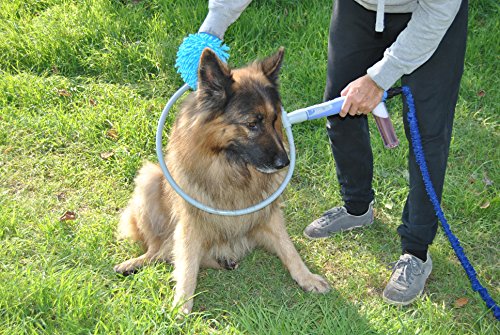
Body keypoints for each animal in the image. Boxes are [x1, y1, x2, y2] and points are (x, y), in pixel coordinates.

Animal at [114, 48, 330, 316]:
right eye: (252, 124)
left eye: (274, 120)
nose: (284, 162)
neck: (232, 167)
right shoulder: (190, 222)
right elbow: (187, 264)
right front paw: (182, 304)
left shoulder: (268, 215)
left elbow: (289, 248)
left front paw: (306, 278)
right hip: (149, 178)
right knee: (160, 249)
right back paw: (135, 262)